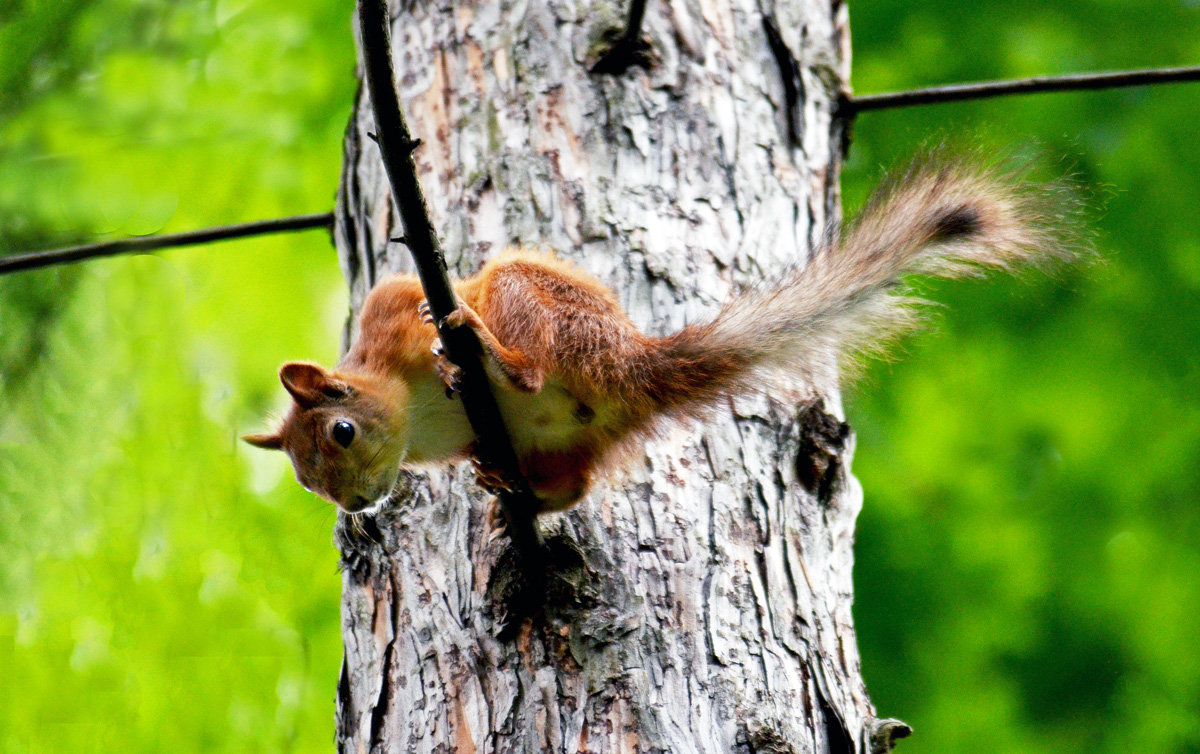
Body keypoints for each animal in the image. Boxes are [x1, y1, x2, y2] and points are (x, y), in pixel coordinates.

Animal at [243, 158, 1080, 511]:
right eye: (307, 481)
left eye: (342, 431)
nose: (356, 506)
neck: (412, 415)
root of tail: (631, 366)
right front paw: (485, 471)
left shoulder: (390, 310)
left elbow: (406, 295)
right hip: (570, 441)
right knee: (574, 485)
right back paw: (518, 486)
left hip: (533, 299)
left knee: (532, 366)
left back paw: (486, 355)